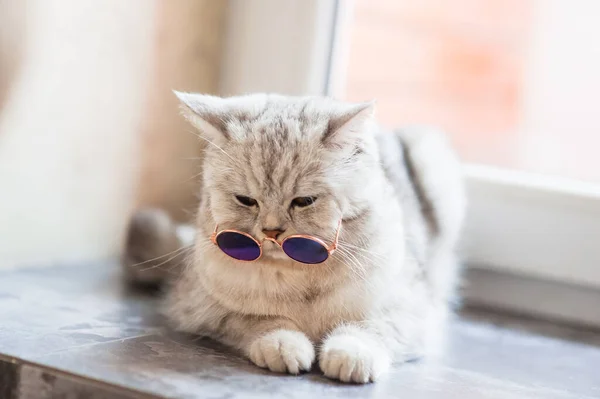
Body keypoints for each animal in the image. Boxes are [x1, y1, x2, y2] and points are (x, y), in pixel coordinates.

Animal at [124, 93, 466, 384]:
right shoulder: (203, 309)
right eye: (246, 200)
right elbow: (260, 321)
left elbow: (370, 328)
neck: (303, 275)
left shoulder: (410, 309)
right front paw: (283, 344)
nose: (271, 231)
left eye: (304, 201)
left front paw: (351, 354)